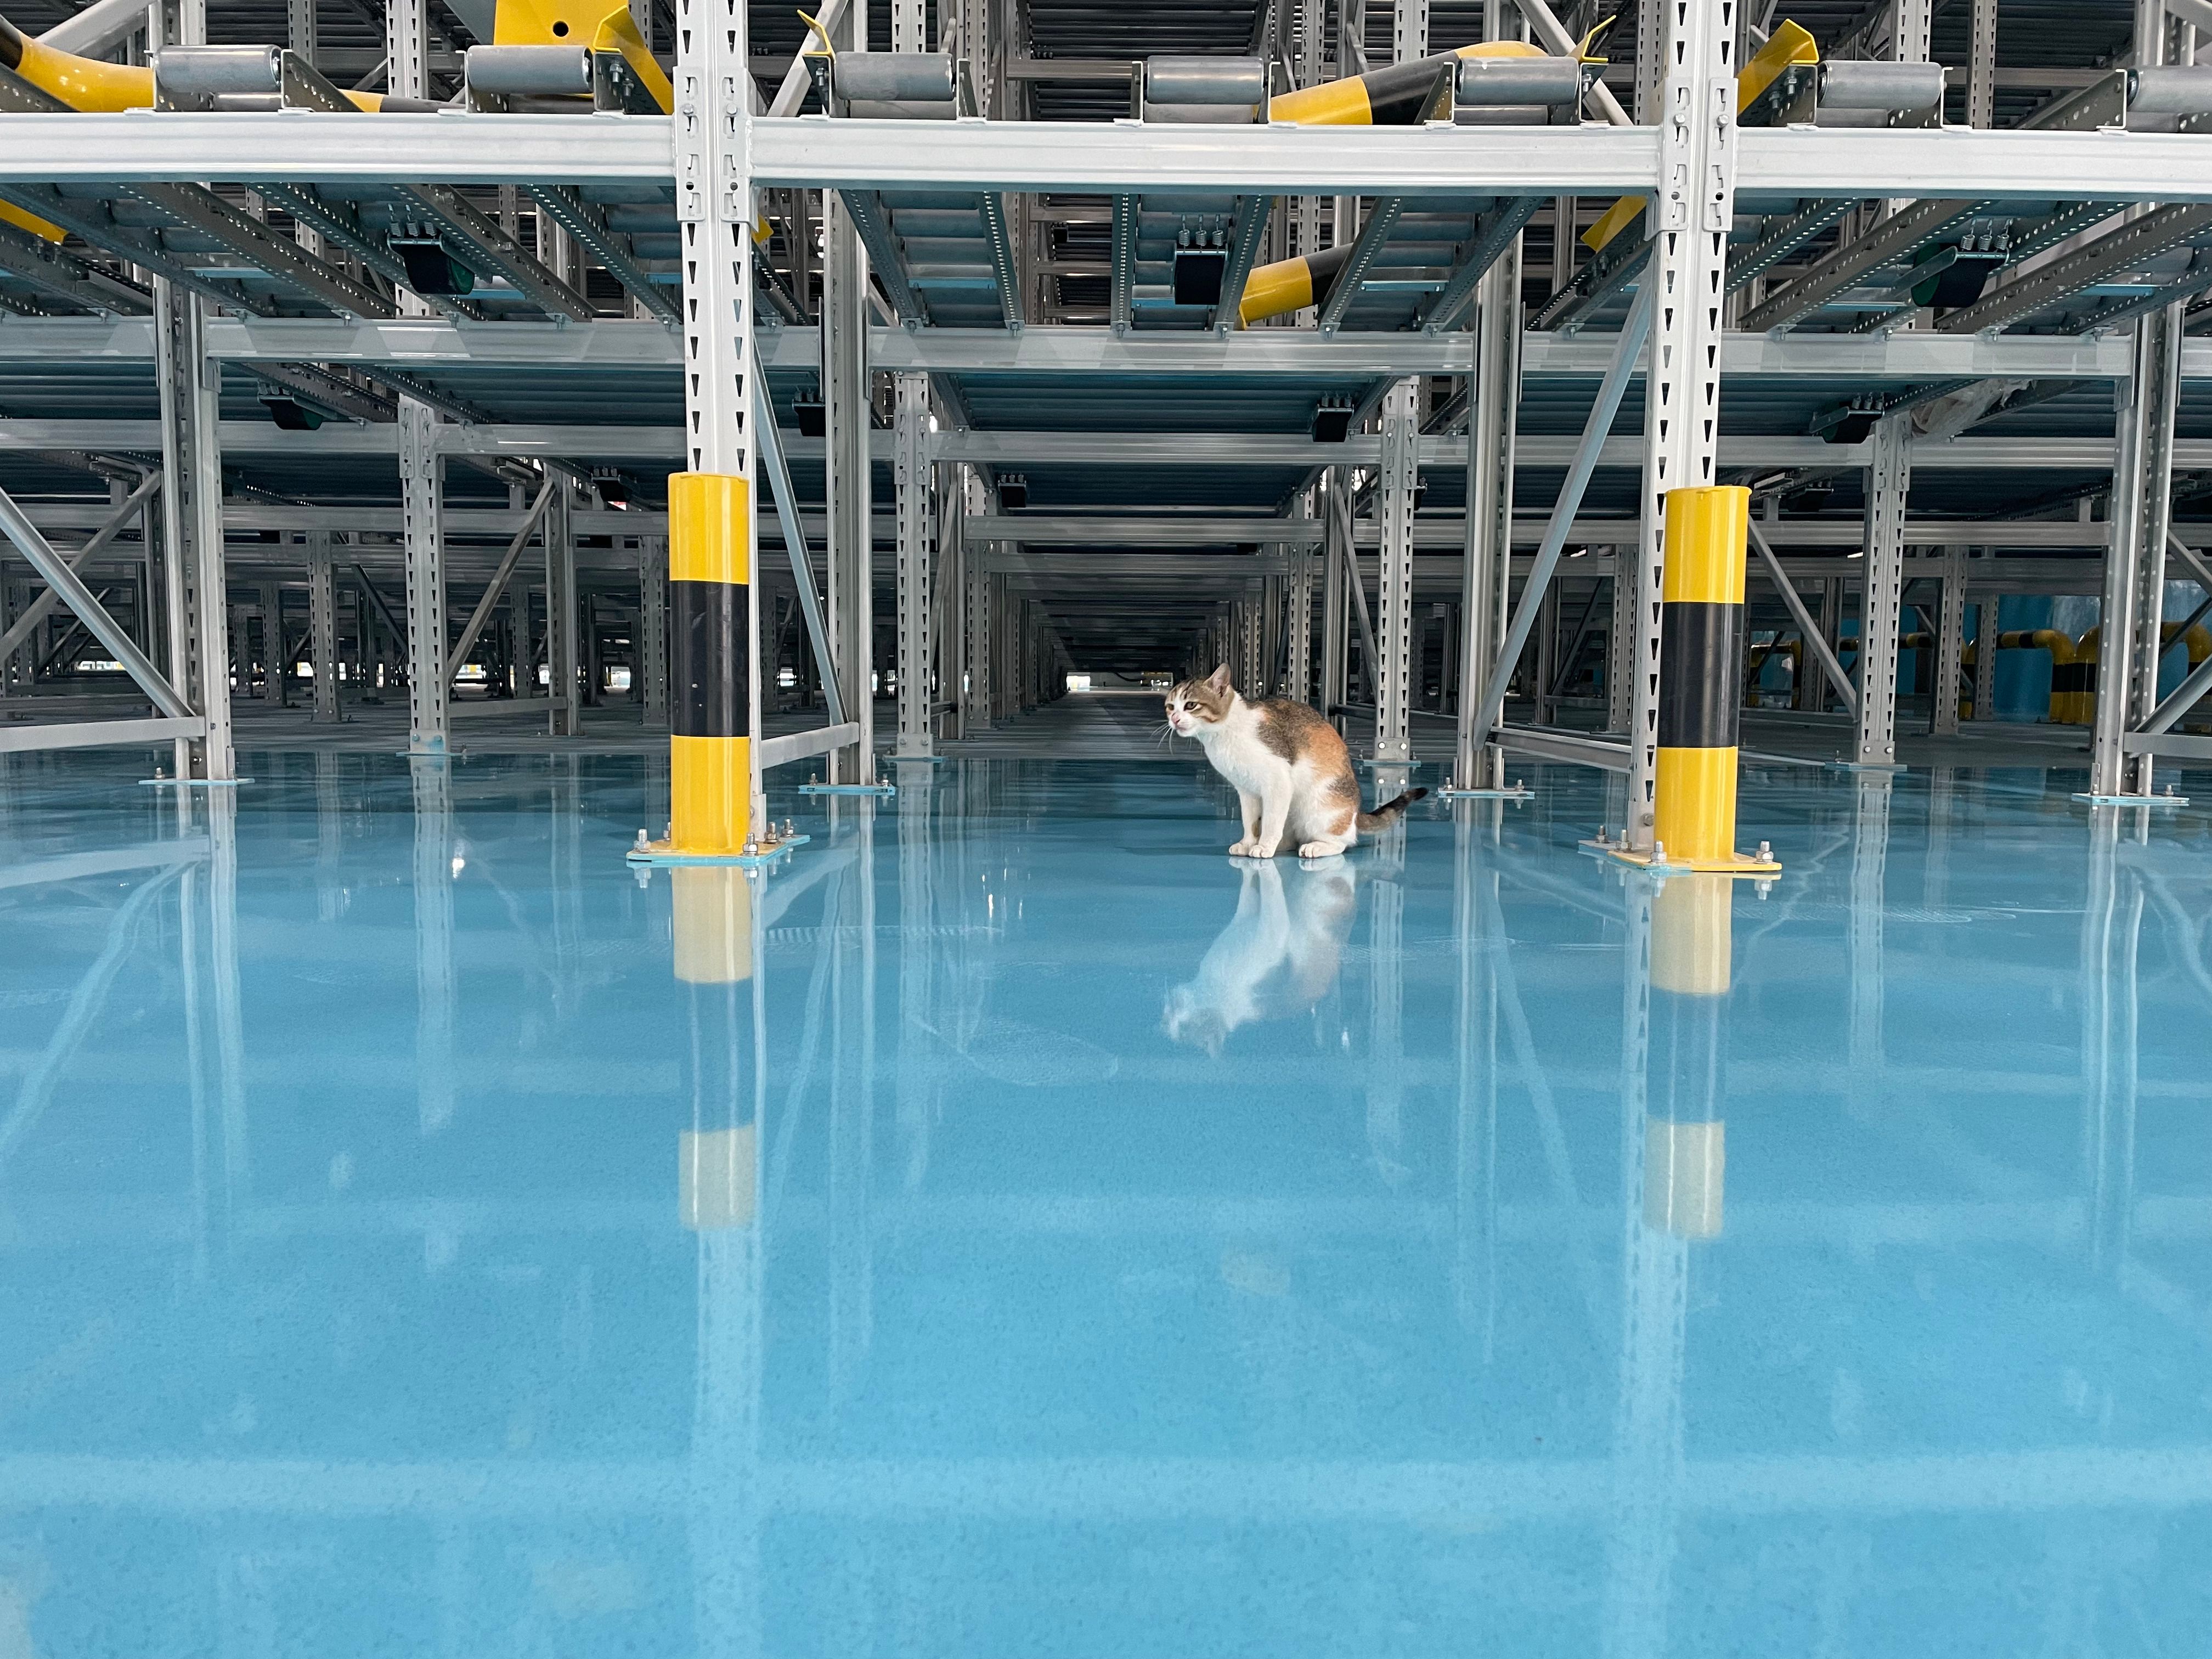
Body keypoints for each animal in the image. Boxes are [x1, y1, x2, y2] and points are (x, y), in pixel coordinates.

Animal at [1163, 857, 1356, 1055]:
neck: (1215, 985)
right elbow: (1247, 895)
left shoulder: (1273, 935)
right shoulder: (1244, 915)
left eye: (1185, 1029)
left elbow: (1271, 896)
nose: (1166, 1024)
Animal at [1164, 665, 1428, 859]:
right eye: (1170, 707)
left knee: (1342, 842)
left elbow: (1271, 821)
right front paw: (1249, 842)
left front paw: (1264, 847)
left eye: (1191, 705)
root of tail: (1355, 815)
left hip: (1318, 808)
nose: (1174, 719)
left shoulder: (1277, 781)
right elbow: (1250, 821)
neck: (1223, 733)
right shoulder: (1246, 790)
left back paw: (1315, 847)